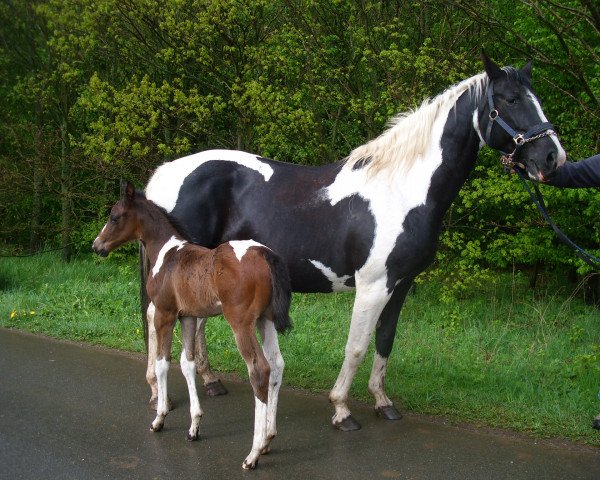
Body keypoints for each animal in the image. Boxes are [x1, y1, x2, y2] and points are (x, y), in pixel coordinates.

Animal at [92, 181, 292, 468]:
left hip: (241, 323)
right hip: (266, 319)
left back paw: (252, 454)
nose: (97, 246)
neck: (167, 254)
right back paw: (267, 440)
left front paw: (159, 418)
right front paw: (194, 426)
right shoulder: (187, 316)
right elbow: (187, 363)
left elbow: (163, 363)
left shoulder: (165, 314)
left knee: (259, 370)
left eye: (114, 216)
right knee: (276, 365)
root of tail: (265, 254)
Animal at [143, 54, 564, 430]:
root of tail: (163, 174)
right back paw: (158, 393)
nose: (552, 157)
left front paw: (382, 401)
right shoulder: (373, 286)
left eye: (534, 97)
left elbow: (385, 340)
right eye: (509, 99)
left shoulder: (401, 284)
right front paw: (342, 409)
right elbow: (357, 345)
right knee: (156, 317)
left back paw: (210, 382)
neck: (403, 189)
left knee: (193, 320)